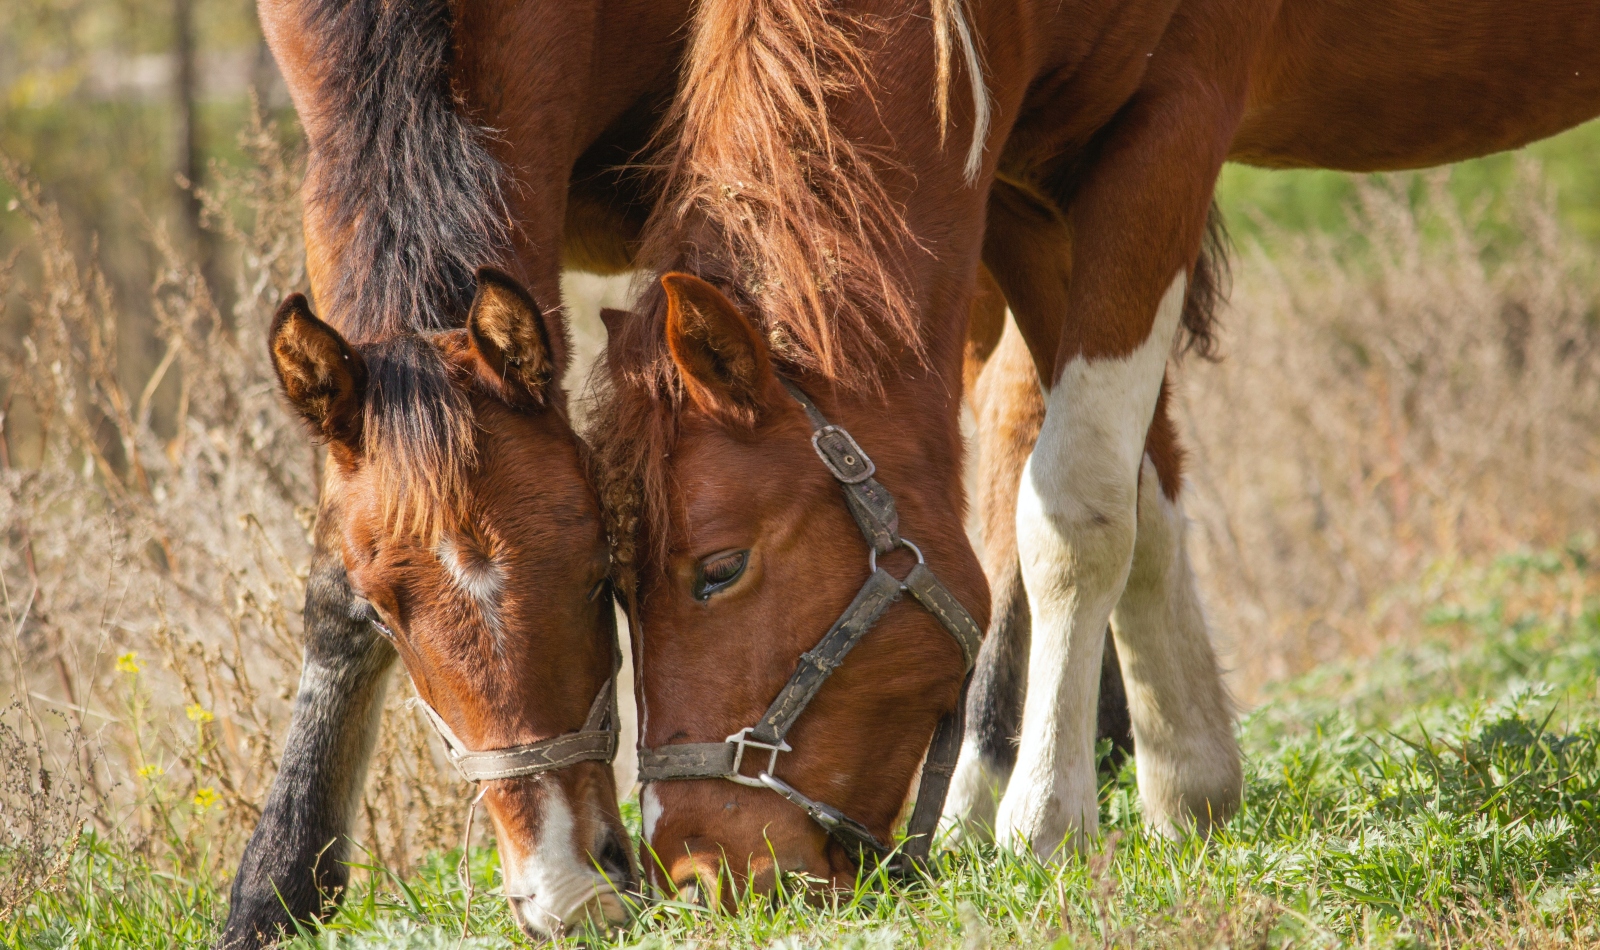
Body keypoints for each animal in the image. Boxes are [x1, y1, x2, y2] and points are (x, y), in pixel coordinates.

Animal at [588, 0, 1600, 889]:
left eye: (719, 569)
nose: (697, 870)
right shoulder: (1027, 193)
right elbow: (1139, 489)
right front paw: (1189, 776)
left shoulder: (1169, 136)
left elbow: (1072, 507)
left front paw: (1044, 815)